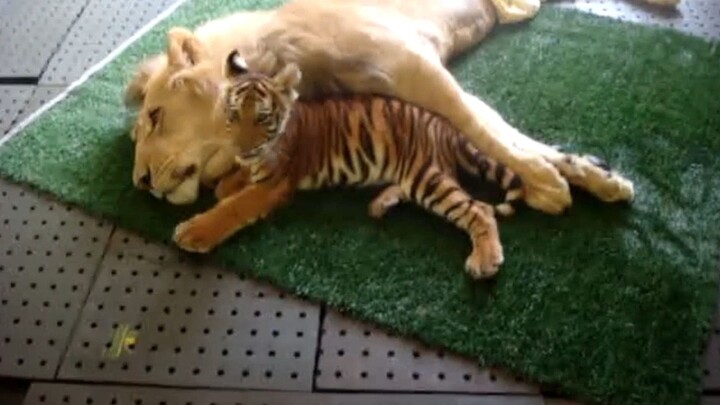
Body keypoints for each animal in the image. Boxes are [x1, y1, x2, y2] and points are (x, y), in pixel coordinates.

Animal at [124, 0, 678, 214]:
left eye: (154, 117)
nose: (141, 183)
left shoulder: (419, 66)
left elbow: (484, 129)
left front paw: (548, 183)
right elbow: (506, 132)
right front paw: (589, 176)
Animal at [173, 51, 526, 279]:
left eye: (261, 117)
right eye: (233, 115)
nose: (242, 148)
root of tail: (447, 128)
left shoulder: (274, 185)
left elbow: (233, 208)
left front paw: (194, 231)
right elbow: (234, 183)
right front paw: (228, 183)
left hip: (425, 174)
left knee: (479, 209)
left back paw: (485, 261)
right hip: (423, 174)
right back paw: (381, 203)